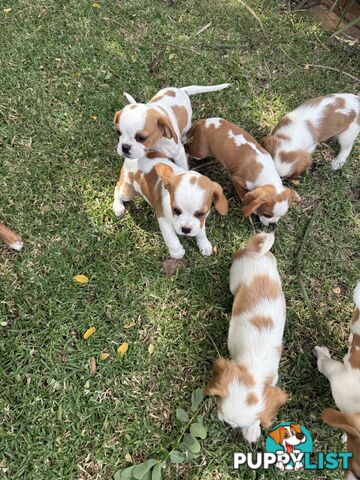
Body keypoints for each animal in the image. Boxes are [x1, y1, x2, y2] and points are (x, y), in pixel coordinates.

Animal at [205, 232, 286, 442]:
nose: (225, 423)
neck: (254, 368)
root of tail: (256, 252)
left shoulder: (272, 378)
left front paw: (252, 429)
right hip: (235, 278)